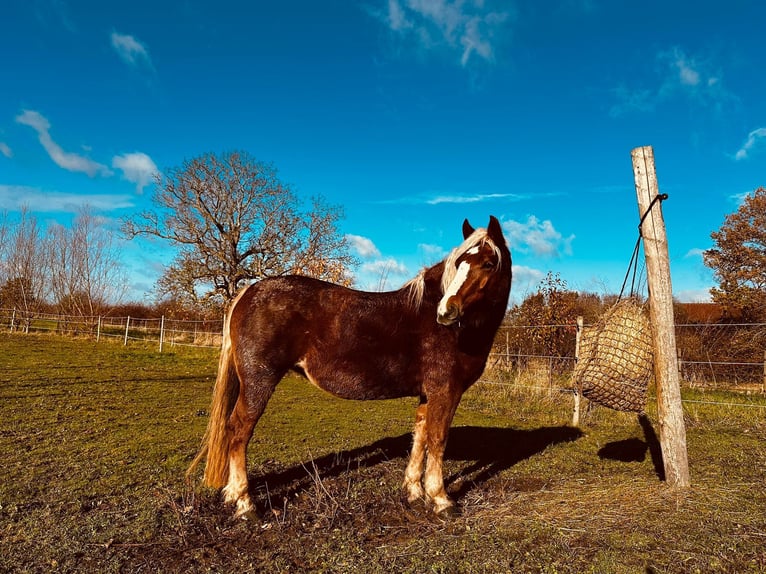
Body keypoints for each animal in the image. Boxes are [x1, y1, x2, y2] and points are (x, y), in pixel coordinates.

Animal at [188, 216, 512, 518]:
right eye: (458, 263)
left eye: (487, 263)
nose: (446, 312)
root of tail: (248, 292)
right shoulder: (446, 391)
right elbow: (438, 439)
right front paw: (442, 499)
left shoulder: (427, 394)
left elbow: (420, 437)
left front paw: (414, 492)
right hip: (259, 382)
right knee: (239, 431)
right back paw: (245, 504)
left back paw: (232, 495)